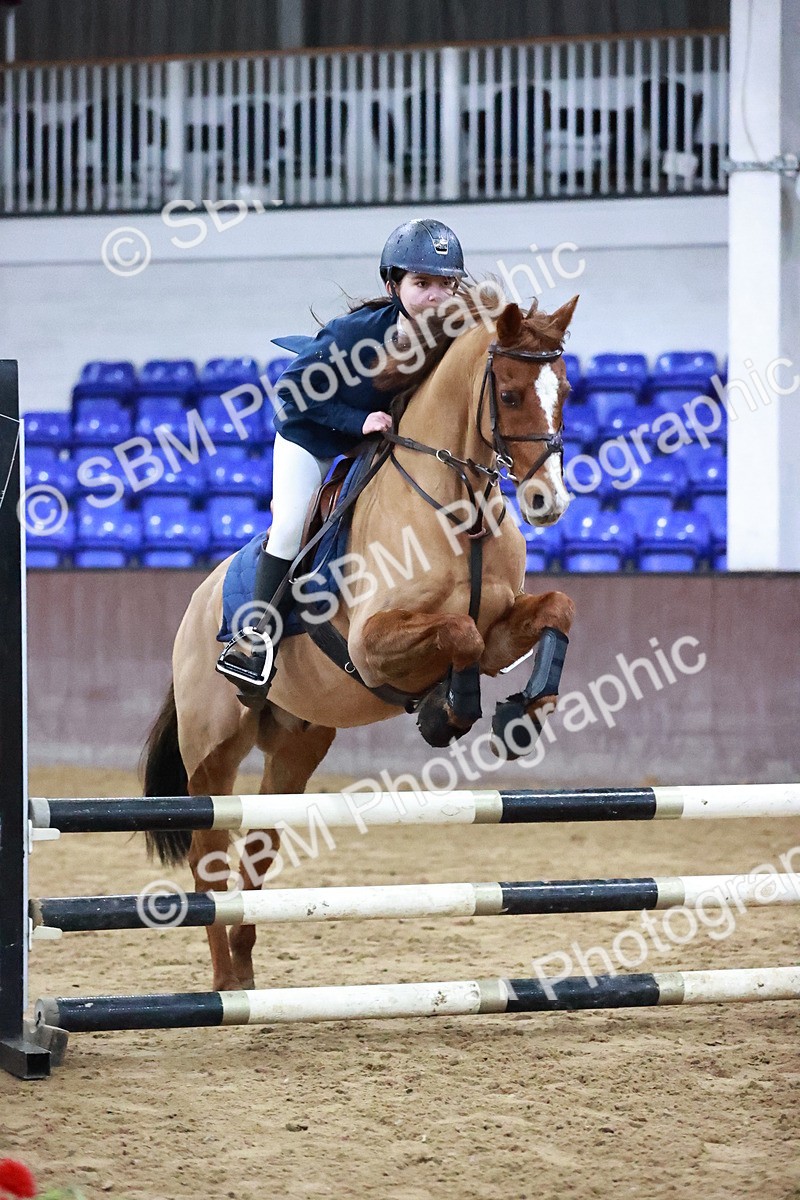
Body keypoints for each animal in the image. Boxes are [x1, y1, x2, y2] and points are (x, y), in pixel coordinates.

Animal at [142, 291, 578, 991]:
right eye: (509, 394)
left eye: (564, 390)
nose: (549, 502)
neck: (458, 509)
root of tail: (197, 601)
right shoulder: (374, 646)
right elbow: (456, 633)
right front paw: (445, 713)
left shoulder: (499, 634)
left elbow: (552, 611)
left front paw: (522, 714)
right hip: (212, 752)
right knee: (210, 858)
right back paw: (227, 984)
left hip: (296, 745)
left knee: (259, 847)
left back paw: (246, 968)